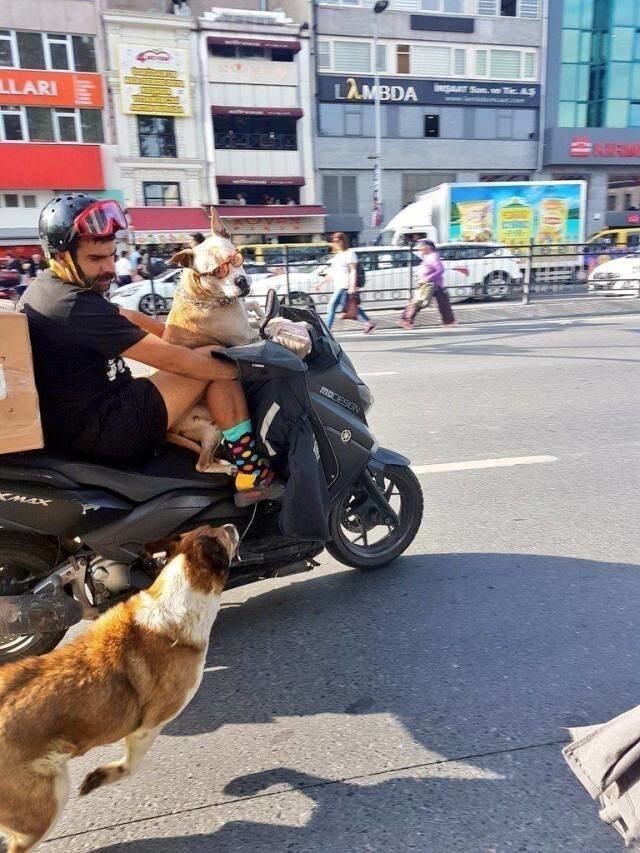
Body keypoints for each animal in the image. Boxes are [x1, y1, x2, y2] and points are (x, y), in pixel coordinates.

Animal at [0, 520, 238, 852]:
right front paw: (104, 775)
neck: (174, 597)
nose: (231, 524)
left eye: (207, 526)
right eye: (224, 535)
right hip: (45, 804)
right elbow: (131, 765)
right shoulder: (148, 727)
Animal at [162, 206, 258, 472]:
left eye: (235, 258)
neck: (202, 295)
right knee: (201, 465)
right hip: (209, 429)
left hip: (213, 427)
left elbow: (255, 307)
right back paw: (228, 468)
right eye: (217, 272)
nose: (241, 281)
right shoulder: (246, 338)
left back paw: (225, 461)